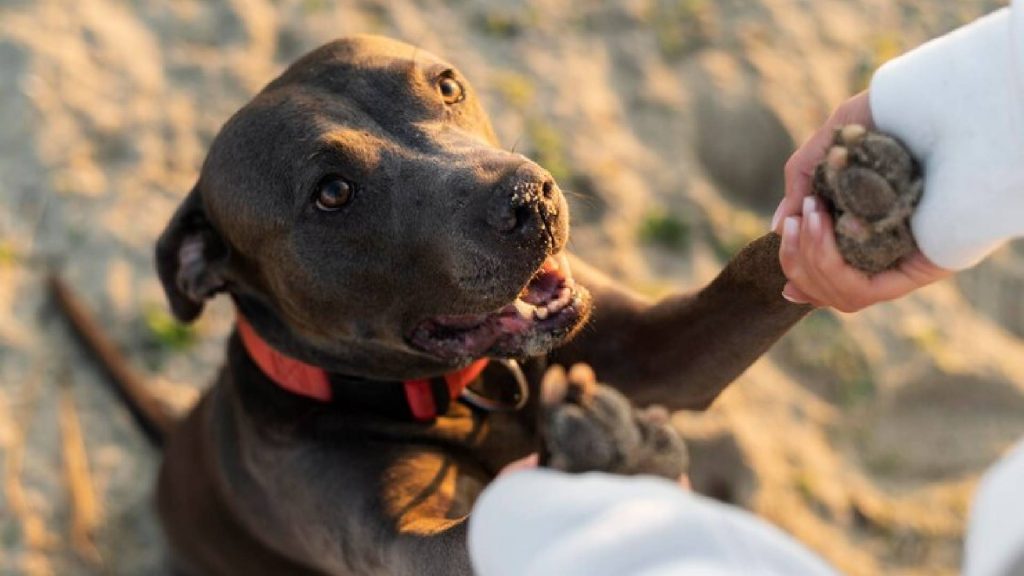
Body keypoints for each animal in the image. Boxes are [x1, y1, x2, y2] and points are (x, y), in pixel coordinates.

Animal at [66, 34, 815, 569]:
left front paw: (839, 199)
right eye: (331, 192)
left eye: (447, 85)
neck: (463, 394)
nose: (530, 198)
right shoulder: (399, 539)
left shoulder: (652, 350)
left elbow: (752, 278)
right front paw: (597, 464)